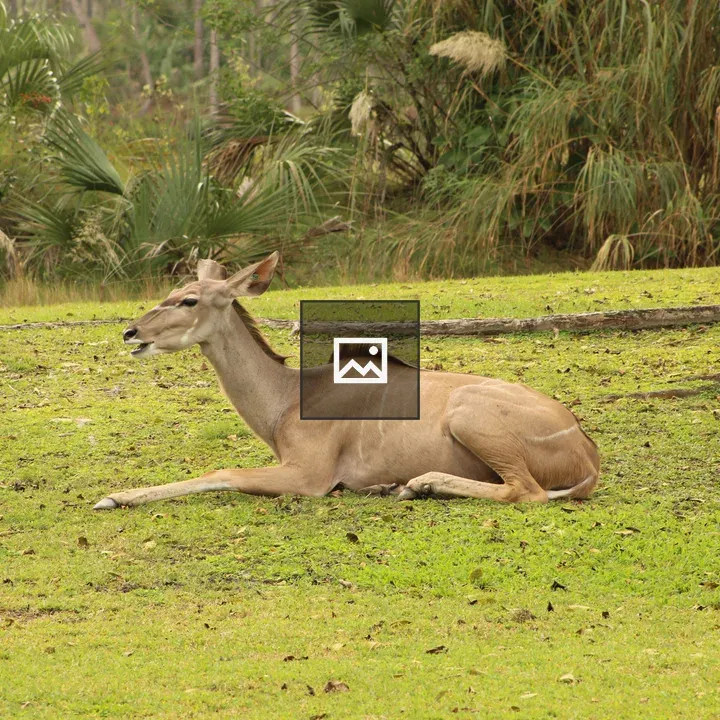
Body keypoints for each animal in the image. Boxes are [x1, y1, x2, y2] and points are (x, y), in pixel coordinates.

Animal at [93, 252, 600, 509]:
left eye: (189, 300)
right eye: (172, 291)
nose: (131, 333)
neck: (285, 402)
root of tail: (587, 455)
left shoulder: (310, 473)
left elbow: (224, 473)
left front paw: (115, 497)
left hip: (470, 416)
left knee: (527, 491)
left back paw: (420, 483)